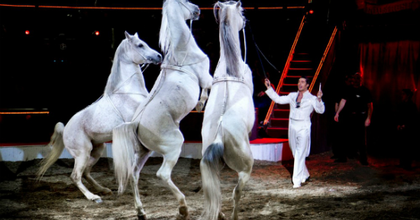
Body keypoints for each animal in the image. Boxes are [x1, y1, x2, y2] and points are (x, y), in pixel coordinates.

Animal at [36, 31, 162, 204]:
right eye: (140, 45)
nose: (159, 56)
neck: (127, 92)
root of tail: (65, 129)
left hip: (97, 150)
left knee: (86, 173)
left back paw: (103, 190)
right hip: (83, 152)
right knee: (75, 176)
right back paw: (93, 197)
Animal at [111, 0, 213, 219]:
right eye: (186, 1)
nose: (197, 10)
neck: (182, 50)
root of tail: (135, 122)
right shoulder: (206, 77)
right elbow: (207, 87)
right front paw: (200, 104)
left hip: (144, 152)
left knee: (134, 174)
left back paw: (141, 211)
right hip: (174, 146)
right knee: (162, 174)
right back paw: (183, 207)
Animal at [201, 0, 256, 219]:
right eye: (242, 13)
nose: (246, 22)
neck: (229, 68)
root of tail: (219, 136)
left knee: (212, 193)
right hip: (246, 166)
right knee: (236, 192)